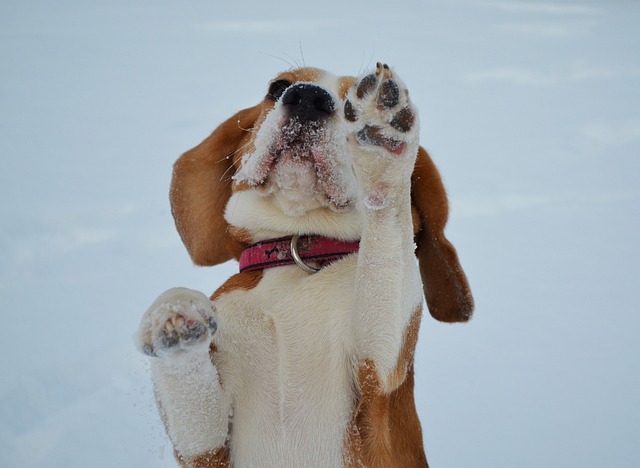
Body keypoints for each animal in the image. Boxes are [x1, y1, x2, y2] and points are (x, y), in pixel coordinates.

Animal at [136, 63, 476, 468]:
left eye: (350, 103)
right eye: (277, 86)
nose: (308, 98)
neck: (297, 255)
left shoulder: (379, 376)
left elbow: (386, 232)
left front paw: (381, 133)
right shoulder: (207, 451)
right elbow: (195, 409)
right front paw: (172, 316)